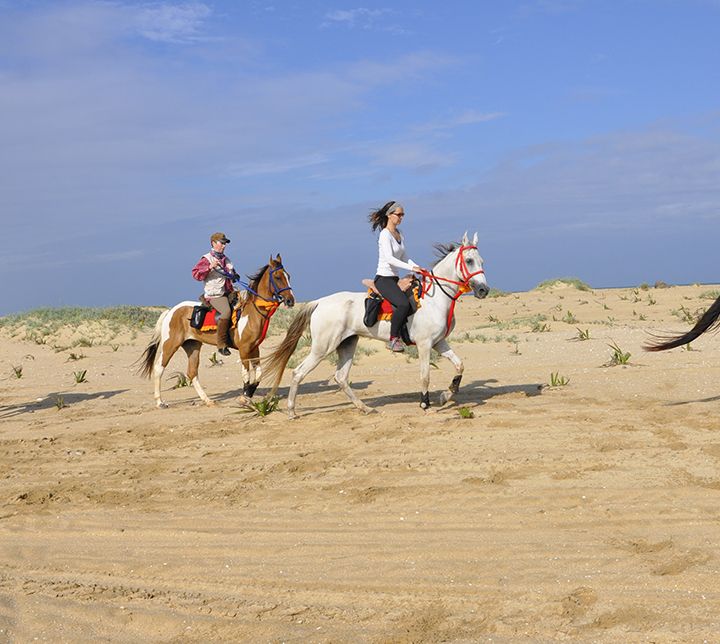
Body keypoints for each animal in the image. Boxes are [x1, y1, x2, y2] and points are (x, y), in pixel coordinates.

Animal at [136, 255, 294, 408]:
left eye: (288, 276)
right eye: (278, 277)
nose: (291, 300)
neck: (252, 312)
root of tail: (170, 311)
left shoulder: (254, 348)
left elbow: (259, 375)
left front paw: (249, 393)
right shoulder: (244, 349)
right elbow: (246, 375)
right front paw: (244, 397)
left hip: (192, 346)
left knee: (192, 372)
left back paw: (207, 400)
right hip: (170, 345)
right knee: (159, 368)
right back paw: (160, 402)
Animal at [262, 231, 490, 418]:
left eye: (481, 261)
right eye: (469, 260)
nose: (483, 290)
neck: (435, 300)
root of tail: (319, 302)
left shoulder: (438, 342)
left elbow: (459, 365)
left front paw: (446, 394)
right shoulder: (425, 345)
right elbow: (425, 376)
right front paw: (425, 405)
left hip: (347, 344)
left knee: (341, 377)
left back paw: (364, 408)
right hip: (322, 348)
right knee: (298, 372)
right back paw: (291, 411)